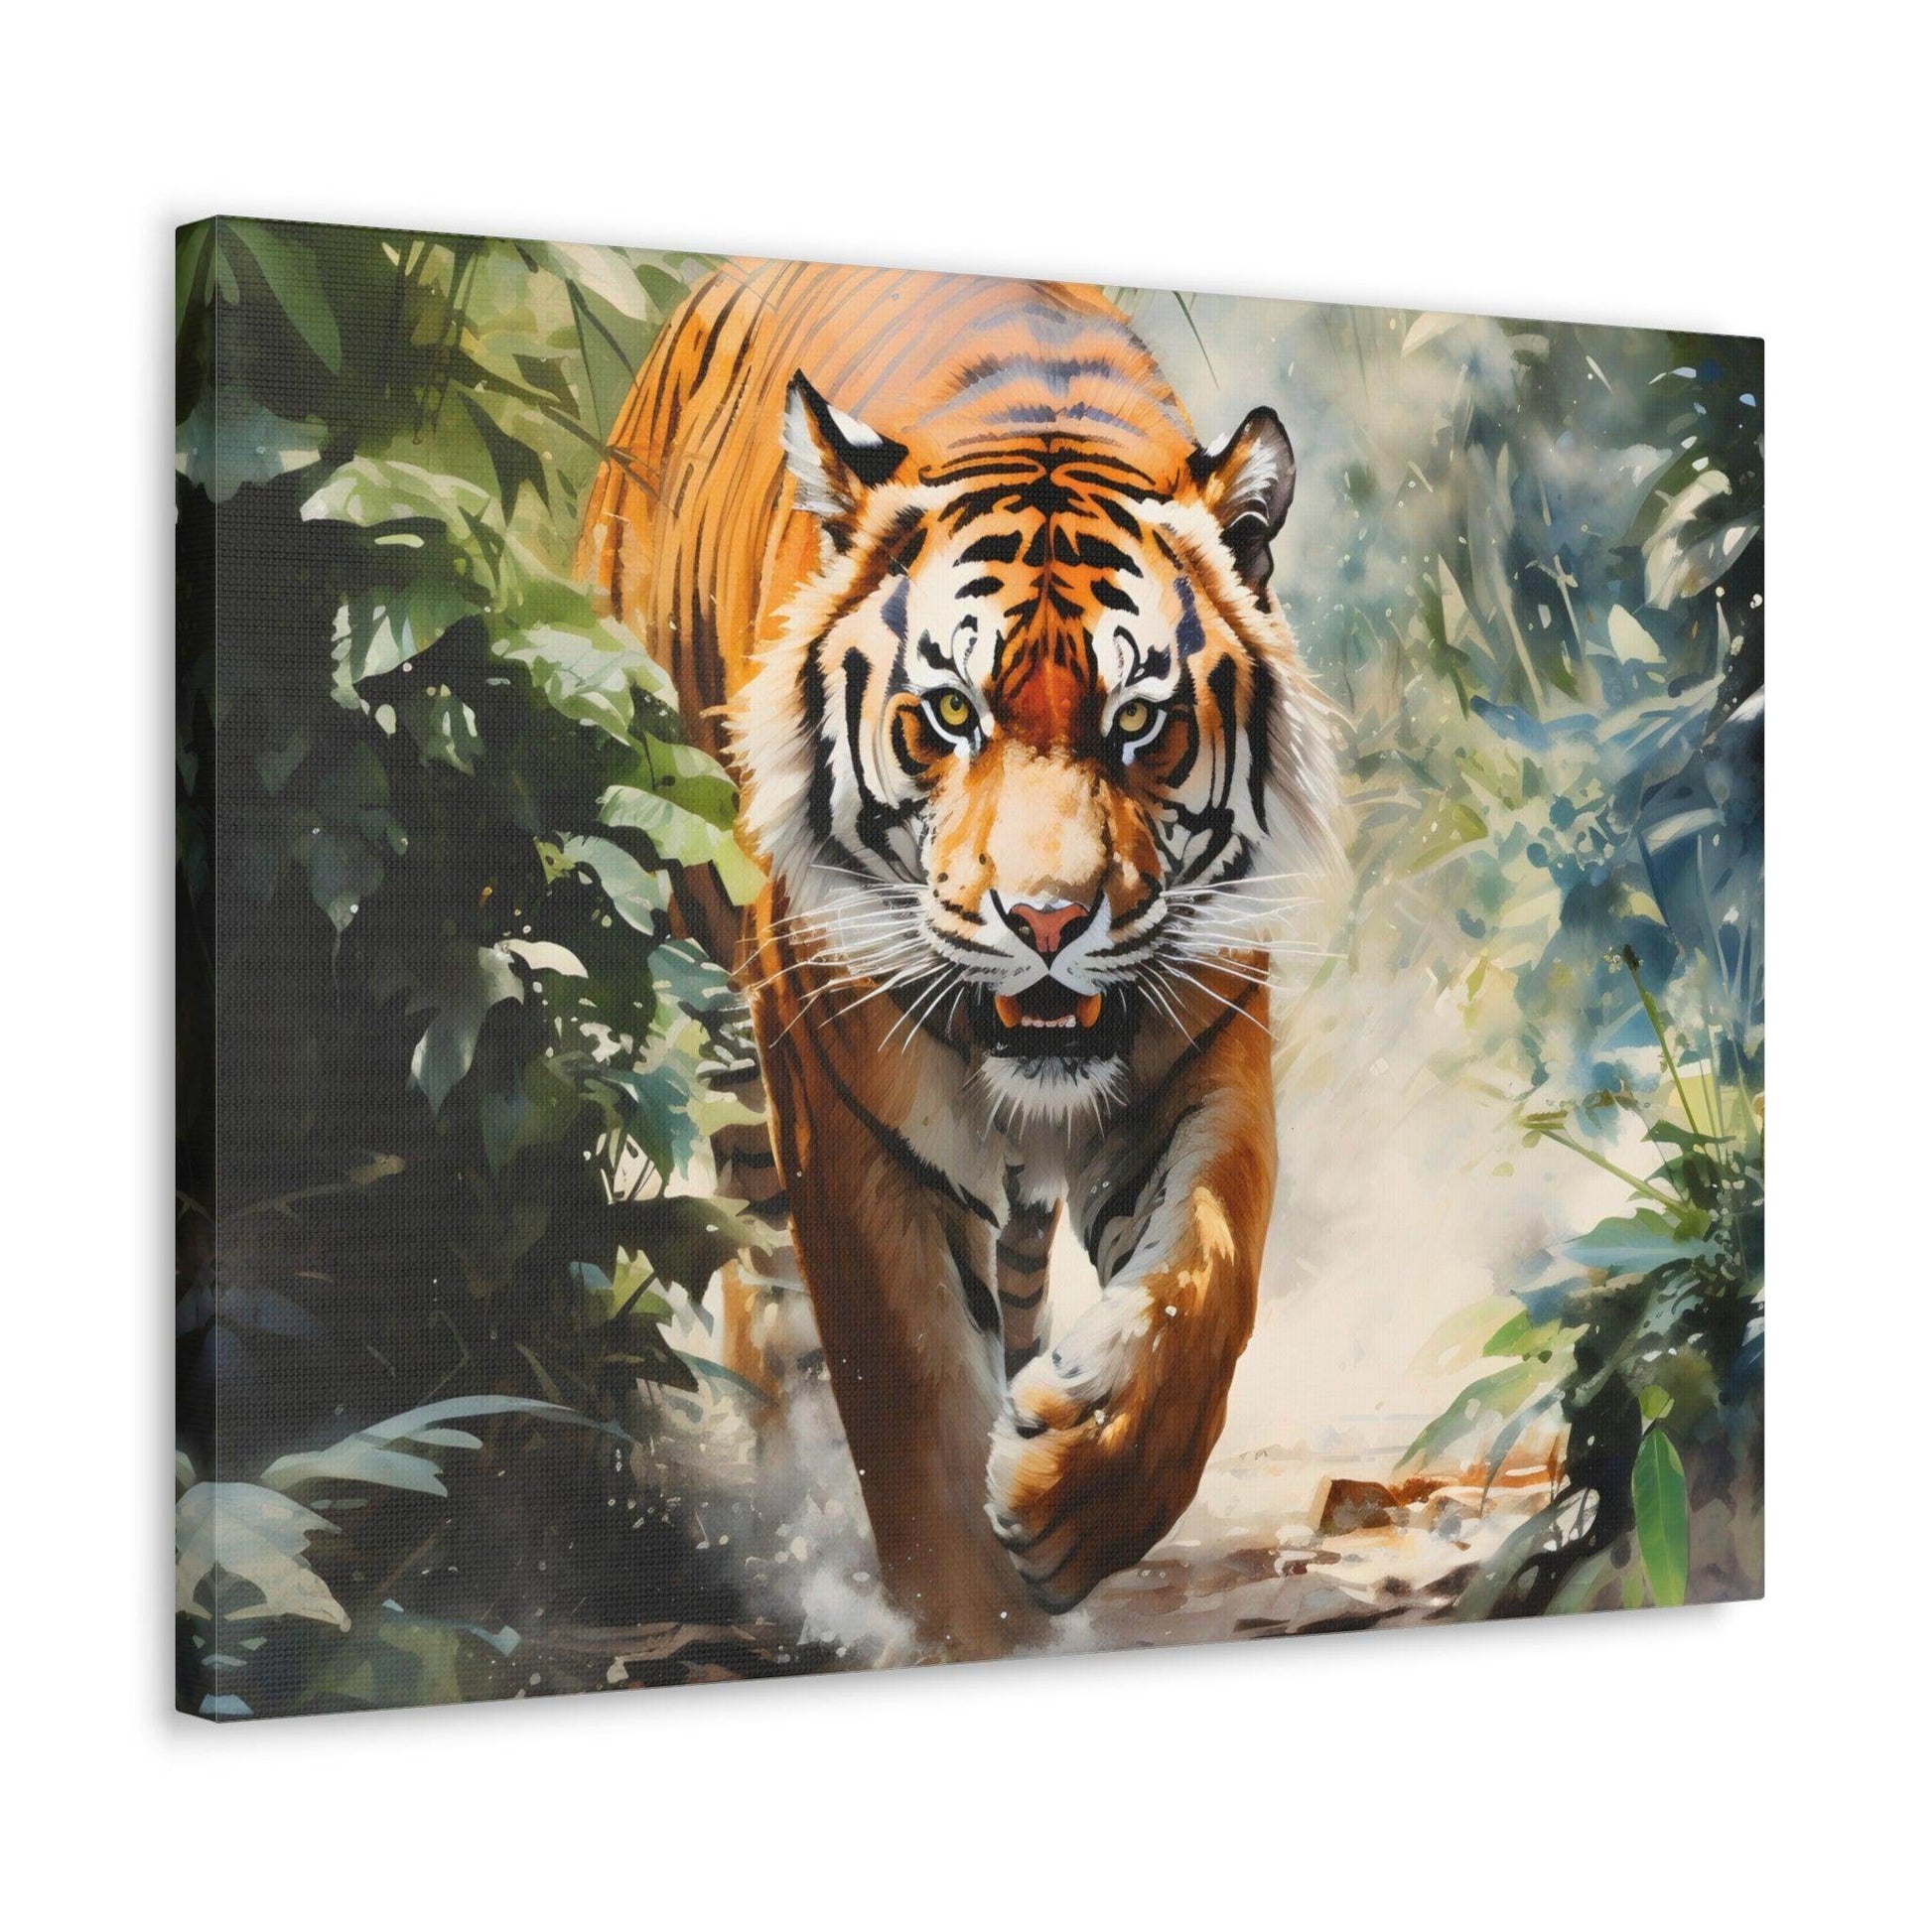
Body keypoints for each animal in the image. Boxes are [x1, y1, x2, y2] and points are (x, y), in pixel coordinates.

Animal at [579, 259, 1338, 1660]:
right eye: (947, 713)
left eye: (1137, 721)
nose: (1045, 919)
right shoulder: (850, 1118)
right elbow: (912, 1399)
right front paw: (974, 1624)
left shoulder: (1199, 1053)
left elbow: (1206, 1278)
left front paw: (1072, 1490)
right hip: (717, 1016)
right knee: (767, 1302)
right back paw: (797, 1521)